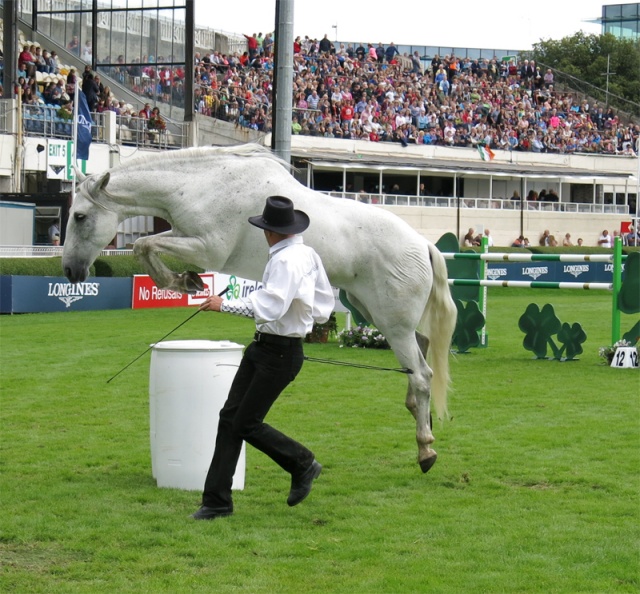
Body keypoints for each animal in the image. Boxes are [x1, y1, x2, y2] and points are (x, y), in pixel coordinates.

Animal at [62, 144, 457, 473]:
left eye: (80, 216)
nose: (70, 271)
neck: (199, 186)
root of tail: (423, 244)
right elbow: (146, 246)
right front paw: (187, 281)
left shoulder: (207, 248)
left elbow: (143, 245)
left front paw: (183, 282)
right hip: (377, 314)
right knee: (419, 355)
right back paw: (420, 427)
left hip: (392, 323)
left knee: (422, 375)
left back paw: (426, 449)